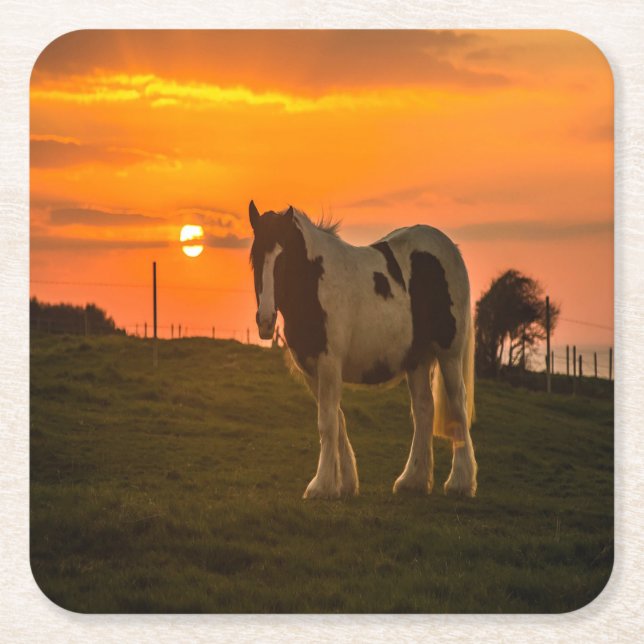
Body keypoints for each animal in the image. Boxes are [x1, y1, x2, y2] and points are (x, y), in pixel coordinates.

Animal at [249, 200, 477, 499]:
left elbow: (327, 422)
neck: (315, 283)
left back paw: (460, 482)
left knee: (458, 406)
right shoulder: (312, 370)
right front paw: (344, 483)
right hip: (416, 360)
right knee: (424, 409)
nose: (265, 321)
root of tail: (450, 248)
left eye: (283, 258)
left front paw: (321, 485)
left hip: (449, 354)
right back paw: (412, 480)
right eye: (254, 257)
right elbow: (337, 420)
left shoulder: (329, 364)